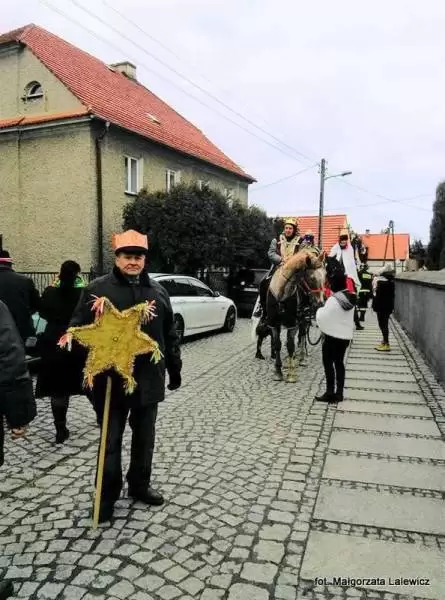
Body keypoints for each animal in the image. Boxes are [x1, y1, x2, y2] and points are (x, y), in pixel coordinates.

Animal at [265, 250, 326, 382]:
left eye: (325, 276)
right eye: (311, 278)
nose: (320, 302)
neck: (281, 293)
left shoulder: (292, 323)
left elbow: (290, 345)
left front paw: (291, 374)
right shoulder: (274, 323)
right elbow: (277, 344)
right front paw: (278, 371)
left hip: (303, 318)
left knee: (302, 335)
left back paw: (301, 358)